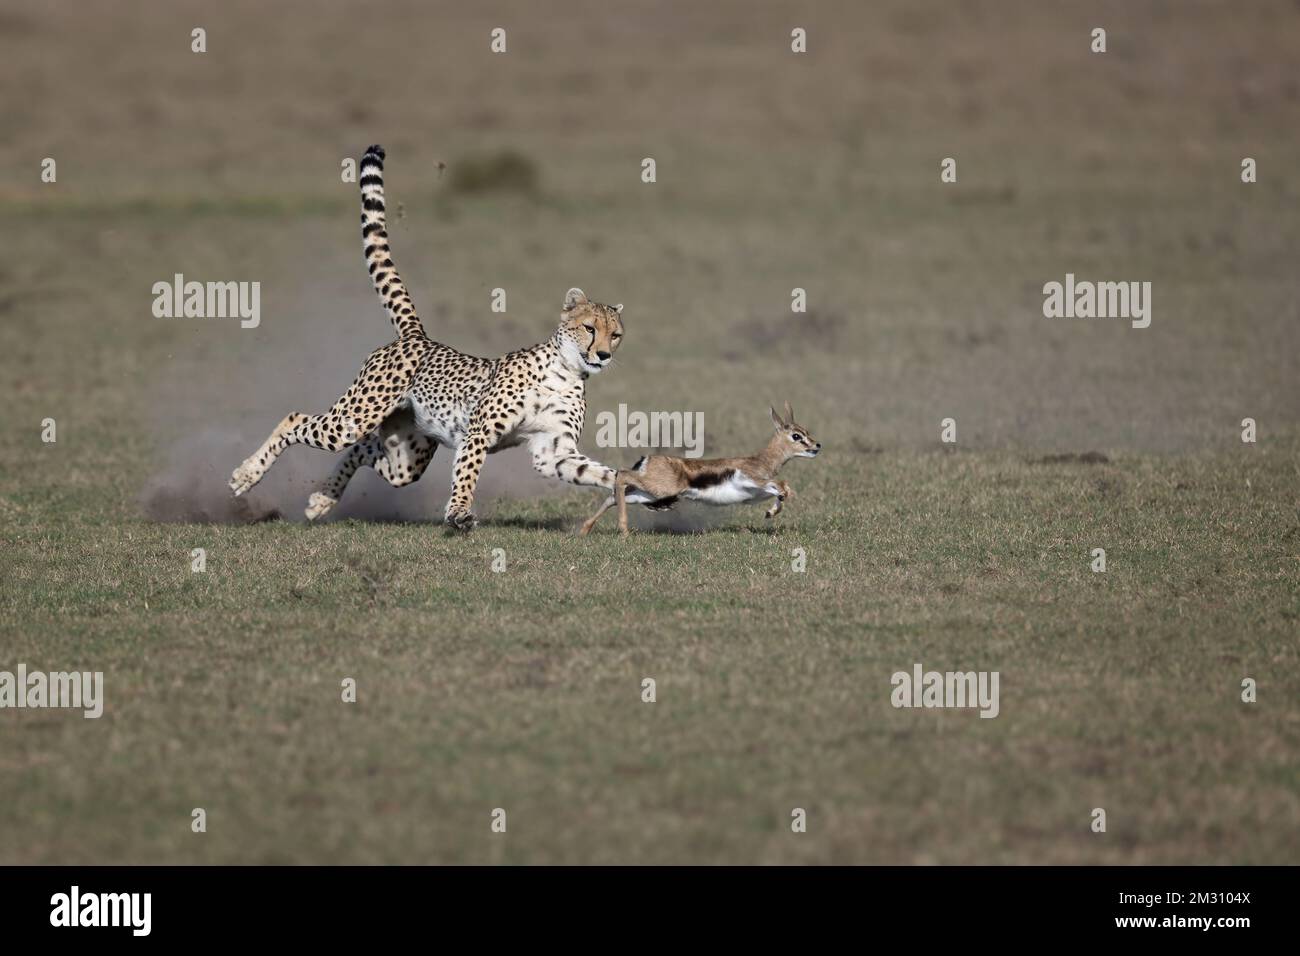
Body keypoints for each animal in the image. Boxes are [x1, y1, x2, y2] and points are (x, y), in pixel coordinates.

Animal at [229, 145, 626, 531]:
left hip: (407, 455)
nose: (603, 355)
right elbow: (467, 474)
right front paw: (459, 512)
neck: (566, 372)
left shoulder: (553, 452)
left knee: (364, 450)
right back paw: (247, 474)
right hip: (355, 416)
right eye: (590, 328)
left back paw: (322, 499)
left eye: (616, 334)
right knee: (296, 419)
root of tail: (417, 336)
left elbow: (602, 472)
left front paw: (630, 483)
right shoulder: (478, 433)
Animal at [579, 402, 821, 536]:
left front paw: (769, 513)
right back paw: (623, 530)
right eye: (796, 436)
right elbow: (783, 485)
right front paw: (771, 512)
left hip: (647, 495)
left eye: (806, 431)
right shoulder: (753, 480)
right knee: (621, 475)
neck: (761, 460)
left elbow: (782, 492)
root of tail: (647, 459)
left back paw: (585, 530)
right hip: (658, 489)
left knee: (614, 496)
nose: (817, 446)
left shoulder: (756, 495)